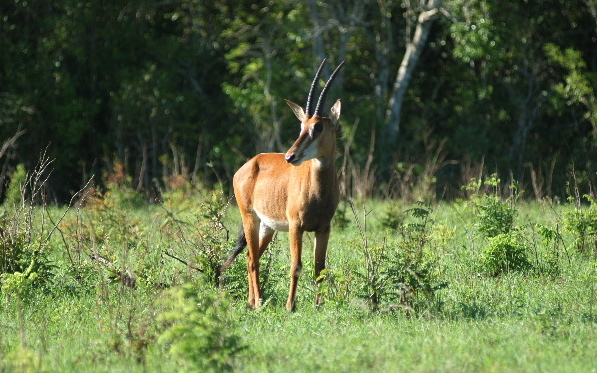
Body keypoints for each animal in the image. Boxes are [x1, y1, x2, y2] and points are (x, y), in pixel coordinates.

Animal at [221, 58, 344, 310]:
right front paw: (291, 306)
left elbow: (320, 268)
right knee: (254, 259)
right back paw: (259, 302)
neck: (319, 191)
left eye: (318, 127)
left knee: (250, 256)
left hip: (268, 226)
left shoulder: (324, 228)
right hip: (250, 218)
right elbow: (296, 265)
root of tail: (250, 163)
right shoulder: (296, 226)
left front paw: (318, 306)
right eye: (302, 125)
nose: (290, 156)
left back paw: (251, 301)